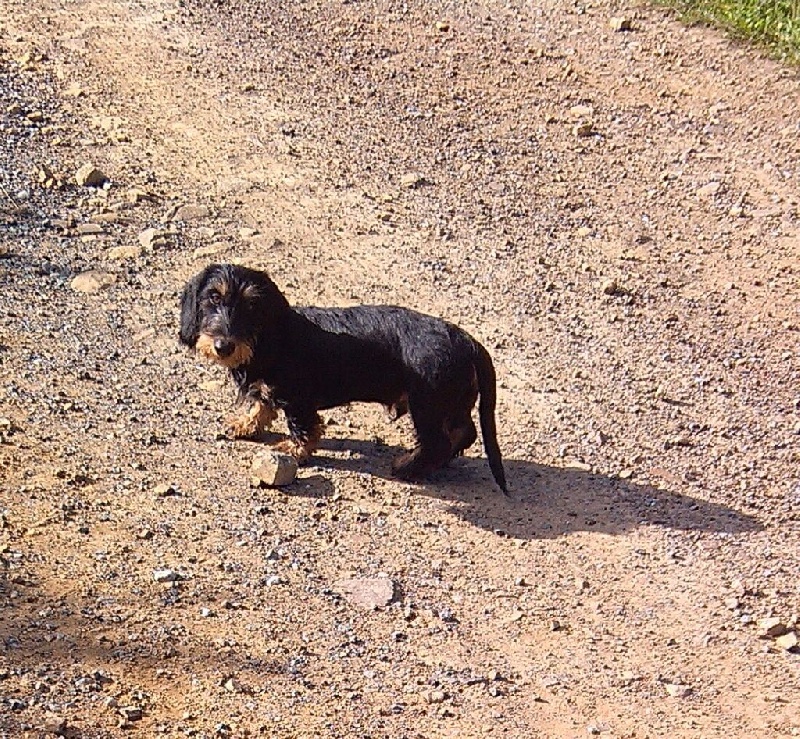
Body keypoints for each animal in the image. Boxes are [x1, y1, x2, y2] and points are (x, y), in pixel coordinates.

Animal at [180, 264, 506, 494]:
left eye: (251, 305)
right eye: (213, 297)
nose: (223, 346)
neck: (268, 339)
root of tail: (468, 340)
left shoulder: (298, 399)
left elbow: (303, 428)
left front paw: (293, 451)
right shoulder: (270, 391)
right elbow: (261, 405)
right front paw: (245, 424)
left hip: (427, 404)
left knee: (438, 441)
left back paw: (408, 466)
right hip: (451, 402)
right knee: (463, 432)